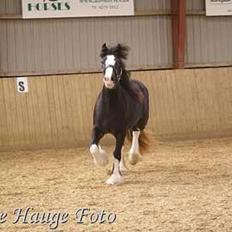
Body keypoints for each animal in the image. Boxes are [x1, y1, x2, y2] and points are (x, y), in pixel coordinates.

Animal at [89, 43, 150, 185]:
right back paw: (122, 167)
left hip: (140, 122)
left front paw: (114, 178)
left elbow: (116, 153)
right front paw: (102, 160)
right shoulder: (97, 128)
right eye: (103, 62)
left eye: (117, 63)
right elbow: (93, 147)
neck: (110, 106)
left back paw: (133, 157)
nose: (109, 80)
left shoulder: (120, 131)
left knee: (136, 134)